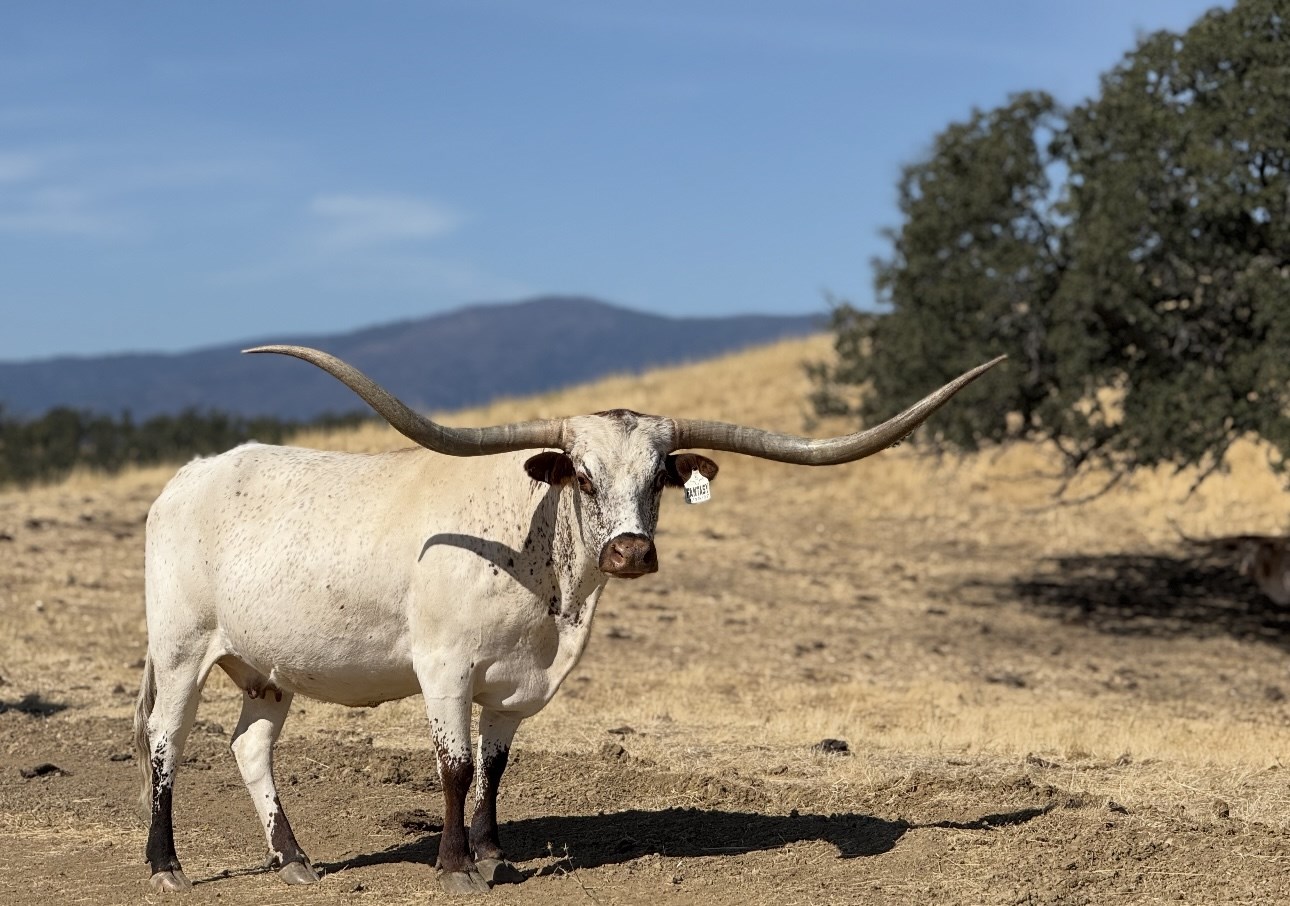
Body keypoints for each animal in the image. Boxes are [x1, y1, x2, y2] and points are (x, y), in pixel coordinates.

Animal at [134, 344, 1004, 894]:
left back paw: (295, 859)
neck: (541, 565)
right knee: (166, 742)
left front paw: (494, 856)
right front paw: (456, 868)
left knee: (249, 747)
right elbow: (454, 767)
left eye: (659, 478)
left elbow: (494, 769)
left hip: (265, 667)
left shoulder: (515, 685)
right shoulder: (444, 669)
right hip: (180, 649)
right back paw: (166, 864)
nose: (629, 552)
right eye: (582, 476)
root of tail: (192, 475)